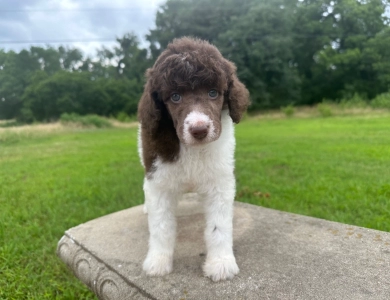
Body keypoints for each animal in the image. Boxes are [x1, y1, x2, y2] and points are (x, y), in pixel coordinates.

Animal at [137, 37, 250, 282]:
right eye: (175, 97)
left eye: (213, 93)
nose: (199, 130)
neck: (193, 149)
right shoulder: (158, 179)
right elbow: (161, 226)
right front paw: (158, 261)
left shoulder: (220, 181)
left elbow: (219, 226)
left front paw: (221, 263)